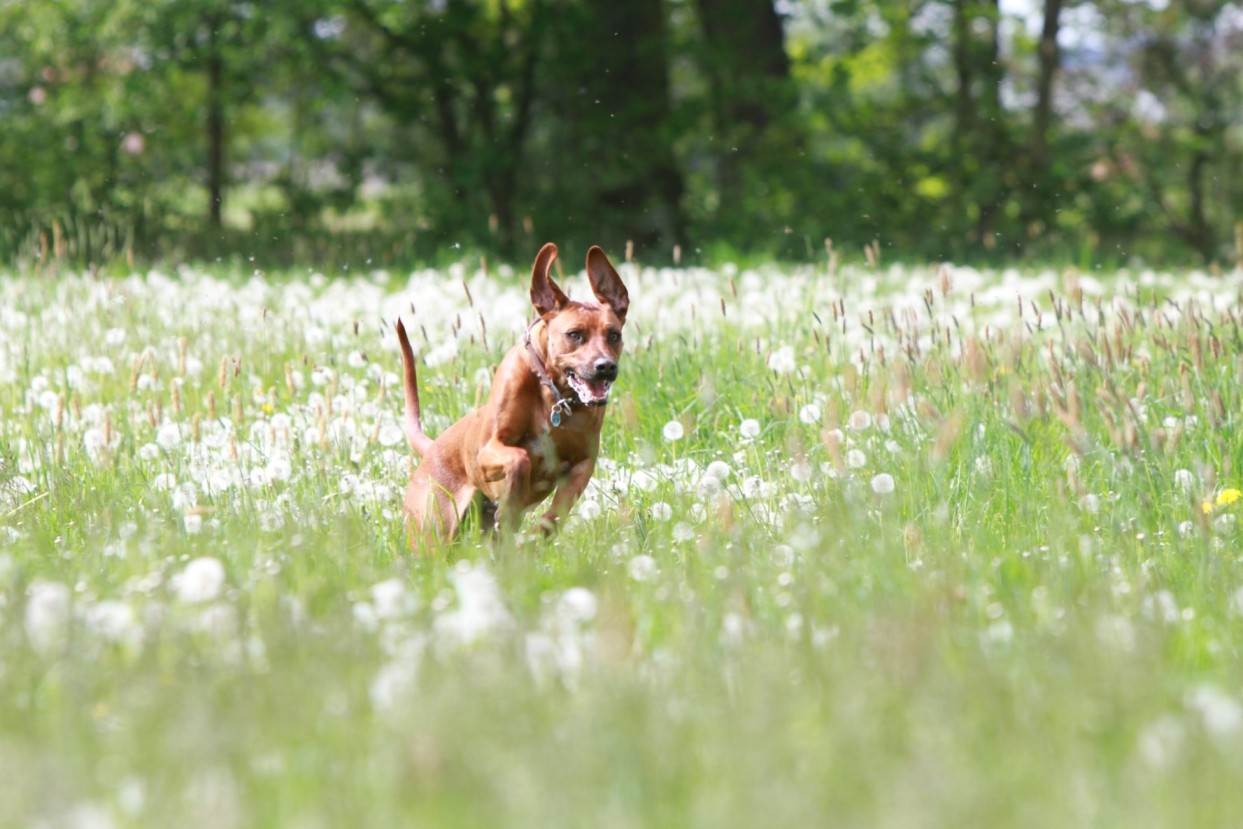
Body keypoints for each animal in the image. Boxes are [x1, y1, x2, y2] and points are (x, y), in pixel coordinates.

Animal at [395, 243, 631, 546]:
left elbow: (553, 517)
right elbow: (520, 458)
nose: (606, 367)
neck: (554, 397)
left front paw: (529, 539)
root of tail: (431, 448)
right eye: (575, 334)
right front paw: (510, 505)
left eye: (613, 335)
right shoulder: (488, 450)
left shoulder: (583, 464)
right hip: (432, 529)